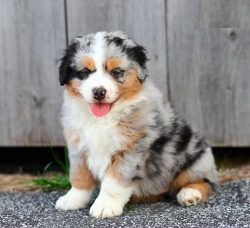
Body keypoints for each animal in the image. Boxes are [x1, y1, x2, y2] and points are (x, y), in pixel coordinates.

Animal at [54, 31, 217, 218]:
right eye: (85, 72)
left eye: (116, 72)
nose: (99, 92)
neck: (103, 119)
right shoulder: (78, 148)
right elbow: (79, 177)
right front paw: (72, 199)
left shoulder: (130, 150)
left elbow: (113, 182)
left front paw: (105, 206)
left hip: (195, 158)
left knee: (205, 181)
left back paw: (189, 194)